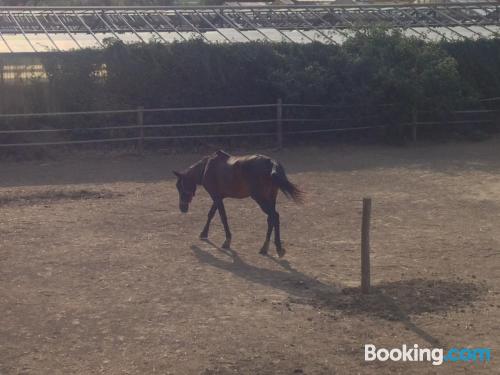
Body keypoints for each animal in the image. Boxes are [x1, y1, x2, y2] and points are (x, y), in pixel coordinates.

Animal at [174, 151, 302, 258]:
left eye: (180, 187)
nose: (182, 208)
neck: (206, 168)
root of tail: (271, 162)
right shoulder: (218, 197)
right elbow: (211, 214)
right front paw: (204, 233)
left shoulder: (216, 197)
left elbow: (222, 217)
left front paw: (227, 240)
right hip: (271, 198)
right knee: (271, 218)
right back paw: (265, 248)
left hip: (260, 198)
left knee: (274, 216)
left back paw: (277, 248)